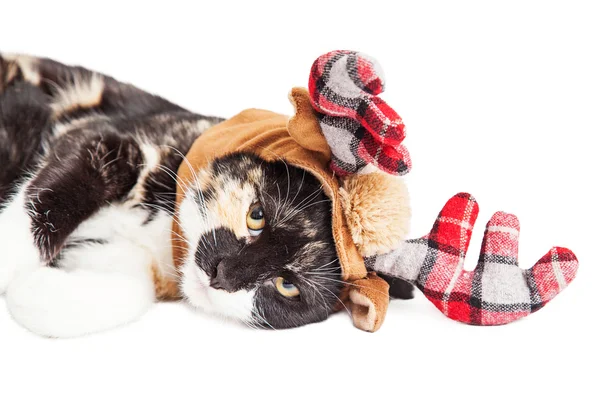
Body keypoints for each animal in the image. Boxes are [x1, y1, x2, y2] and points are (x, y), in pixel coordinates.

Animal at [0, 53, 412, 338]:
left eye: (287, 286)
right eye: (256, 215)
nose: (221, 274)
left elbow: (134, 291)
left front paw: (31, 289)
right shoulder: (105, 141)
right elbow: (40, 209)